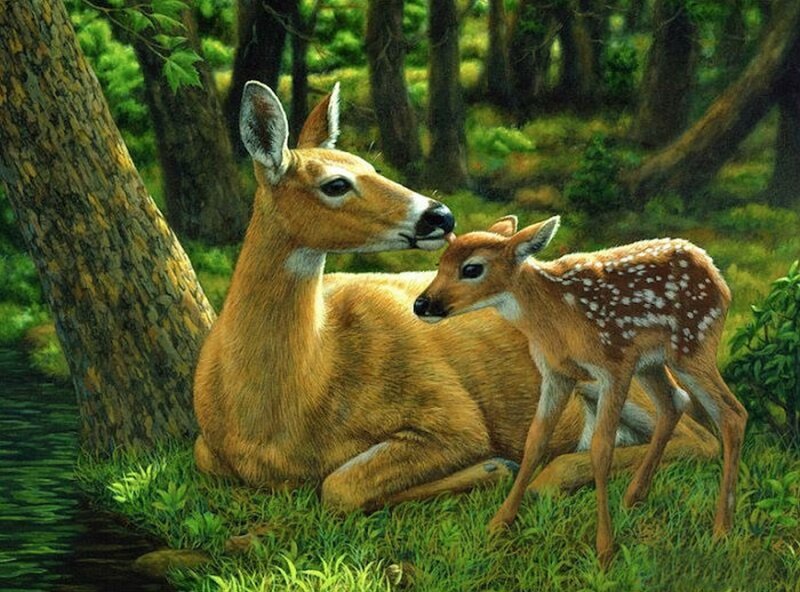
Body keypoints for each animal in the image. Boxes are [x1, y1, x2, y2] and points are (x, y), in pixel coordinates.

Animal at [193, 82, 719, 518]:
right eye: (336, 183)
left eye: (372, 167)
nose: (440, 215)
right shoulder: (207, 450)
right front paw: (492, 470)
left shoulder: (451, 415)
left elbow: (339, 486)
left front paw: (492, 468)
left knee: (696, 435)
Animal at [414, 215, 746, 566]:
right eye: (439, 263)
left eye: (472, 268)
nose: (422, 304)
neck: (555, 317)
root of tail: (714, 271)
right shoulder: (556, 373)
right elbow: (535, 441)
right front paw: (498, 523)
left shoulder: (613, 365)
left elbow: (601, 449)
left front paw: (604, 550)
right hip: (652, 362)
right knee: (674, 402)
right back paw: (633, 498)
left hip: (692, 345)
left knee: (732, 413)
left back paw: (721, 529)